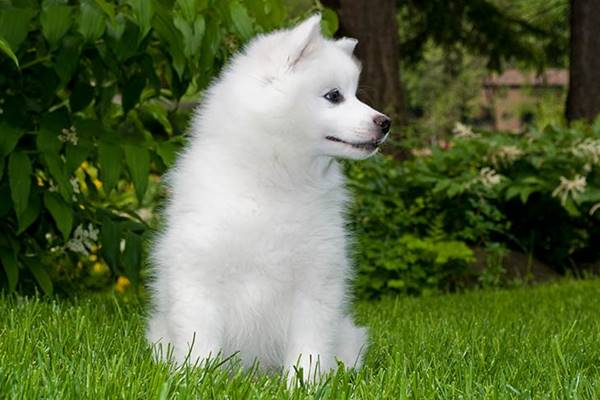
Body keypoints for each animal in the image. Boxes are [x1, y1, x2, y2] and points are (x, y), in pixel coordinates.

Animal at [148, 13, 392, 384]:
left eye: (354, 95)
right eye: (334, 95)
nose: (386, 122)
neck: (275, 181)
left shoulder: (315, 278)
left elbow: (309, 344)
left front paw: (304, 383)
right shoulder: (199, 274)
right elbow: (200, 338)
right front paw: (198, 379)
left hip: (349, 337)